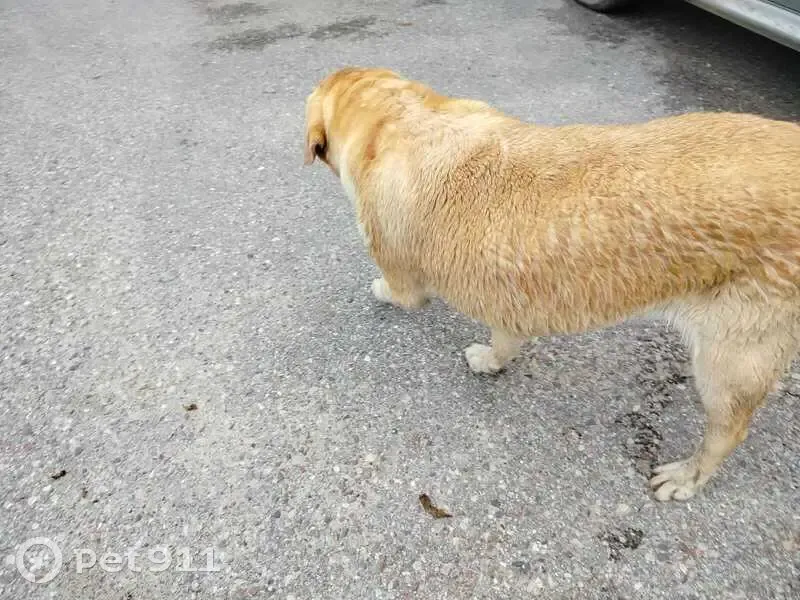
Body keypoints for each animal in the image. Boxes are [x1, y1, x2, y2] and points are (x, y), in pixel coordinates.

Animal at [303, 66, 800, 501]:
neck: (396, 117)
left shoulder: (404, 275)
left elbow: (399, 292)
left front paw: (382, 293)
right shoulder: (507, 293)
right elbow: (506, 338)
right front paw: (494, 360)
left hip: (727, 360)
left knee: (729, 430)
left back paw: (689, 475)